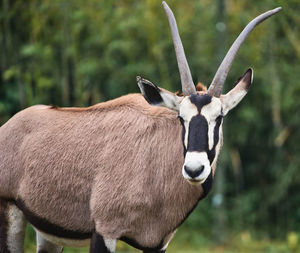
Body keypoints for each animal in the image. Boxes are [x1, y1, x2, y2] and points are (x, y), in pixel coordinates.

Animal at [0, 1, 282, 253]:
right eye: (181, 118)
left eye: (219, 117)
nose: (194, 169)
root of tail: (10, 126)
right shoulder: (105, 231)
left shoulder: (158, 243)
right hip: (10, 212)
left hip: (49, 233)